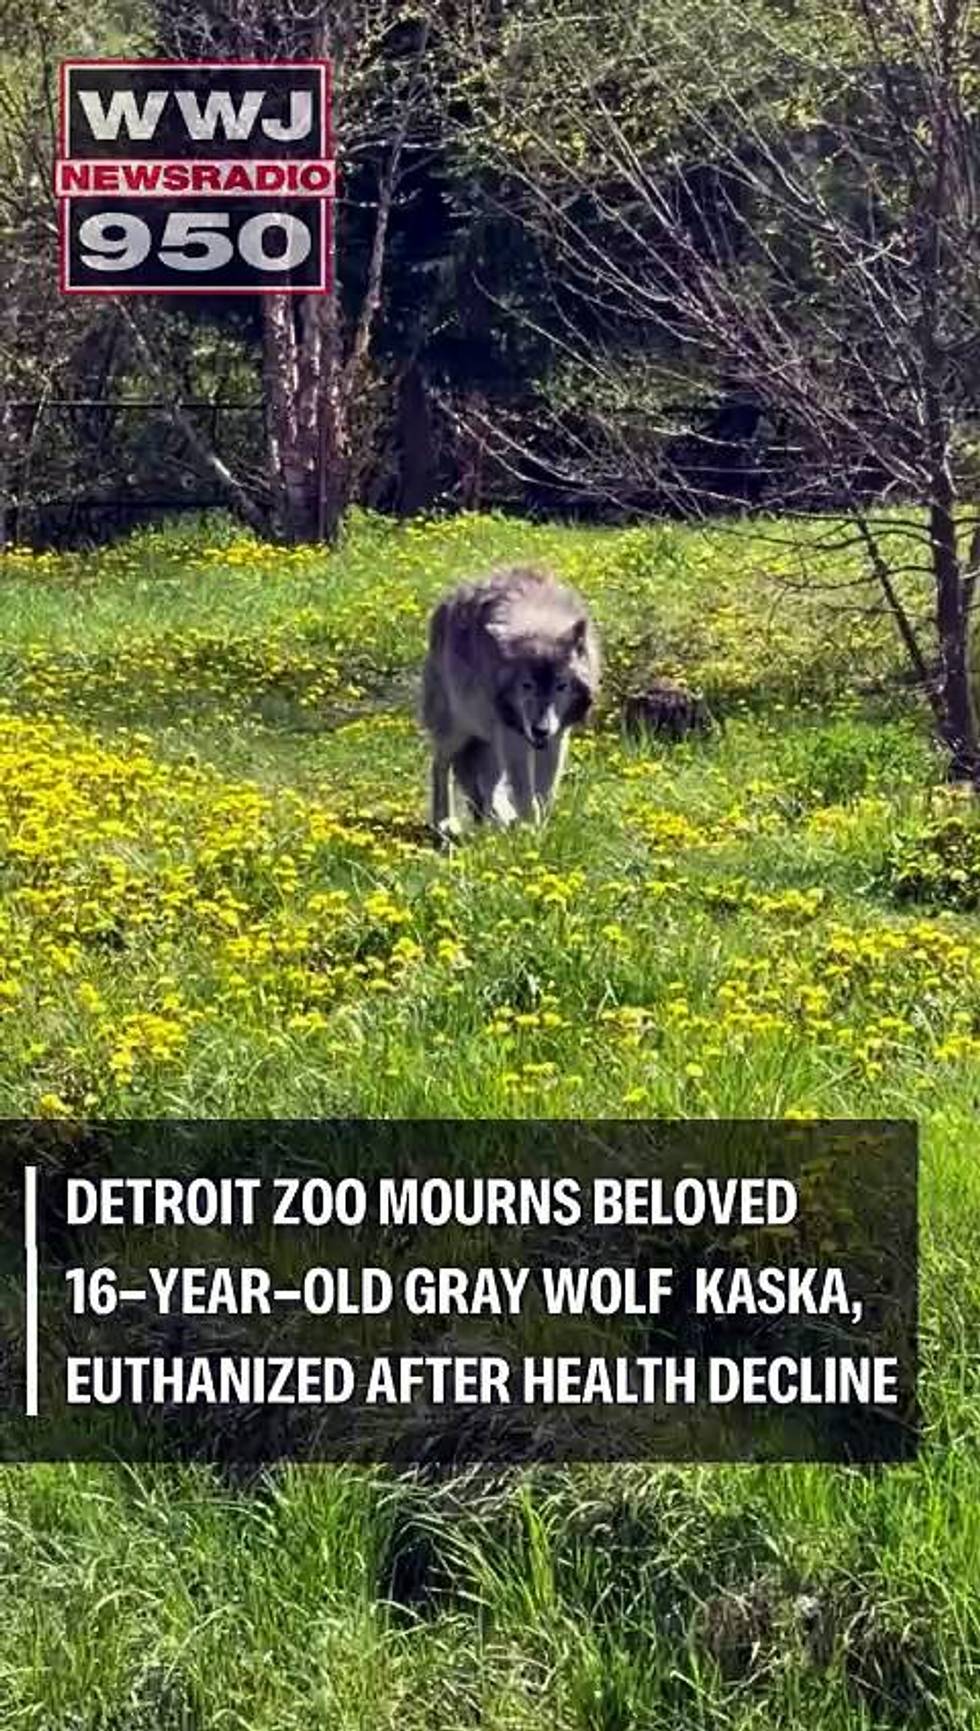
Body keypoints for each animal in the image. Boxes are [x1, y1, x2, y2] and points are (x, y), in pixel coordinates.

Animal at [421, 565, 600, 838]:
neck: (538, 619)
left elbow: (545, 794)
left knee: (487, 784)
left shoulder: (557, 736)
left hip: (489, 741)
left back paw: (499, 822)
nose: (540, 729)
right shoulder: (512, 733)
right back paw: (445, 823)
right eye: (526, 686)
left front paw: (540, 831)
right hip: (459, 731)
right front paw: (530, 831)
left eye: (561, 686)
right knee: (440, 766)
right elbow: (526, 795)